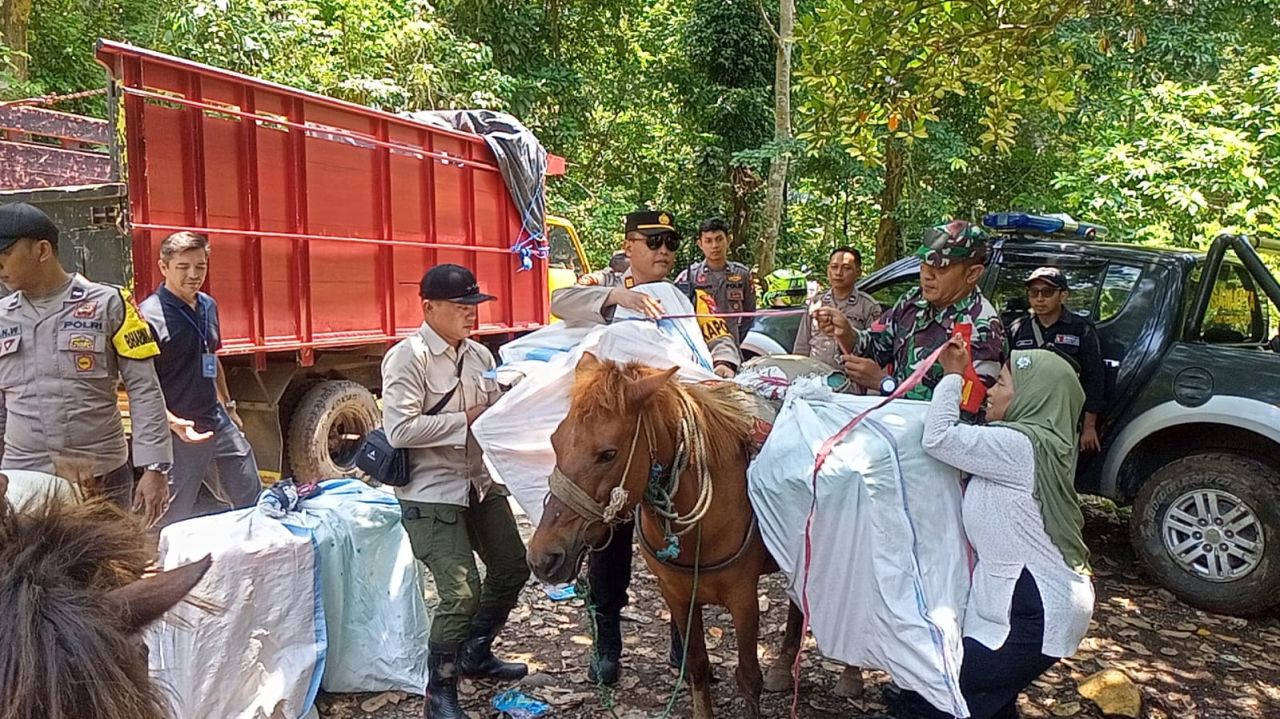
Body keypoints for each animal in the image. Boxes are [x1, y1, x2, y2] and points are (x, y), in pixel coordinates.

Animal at [529, 353, 819, 716]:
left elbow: (749, 676)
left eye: (608, 454)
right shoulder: (677, 594)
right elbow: (696, 665)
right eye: (555, 440)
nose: (543, 556)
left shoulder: (743, 597)